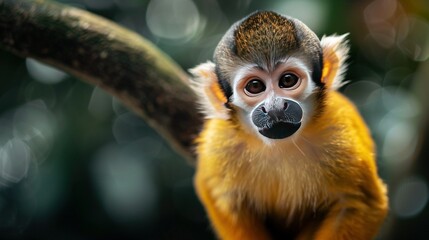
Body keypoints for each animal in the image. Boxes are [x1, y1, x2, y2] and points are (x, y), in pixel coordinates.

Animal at [189, 11, 386, 240]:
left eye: (288, 80)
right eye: (255, 86)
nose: (275, 107)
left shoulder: (339, 134)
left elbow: (360, 202)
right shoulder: (220, 143)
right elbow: (221, 198)